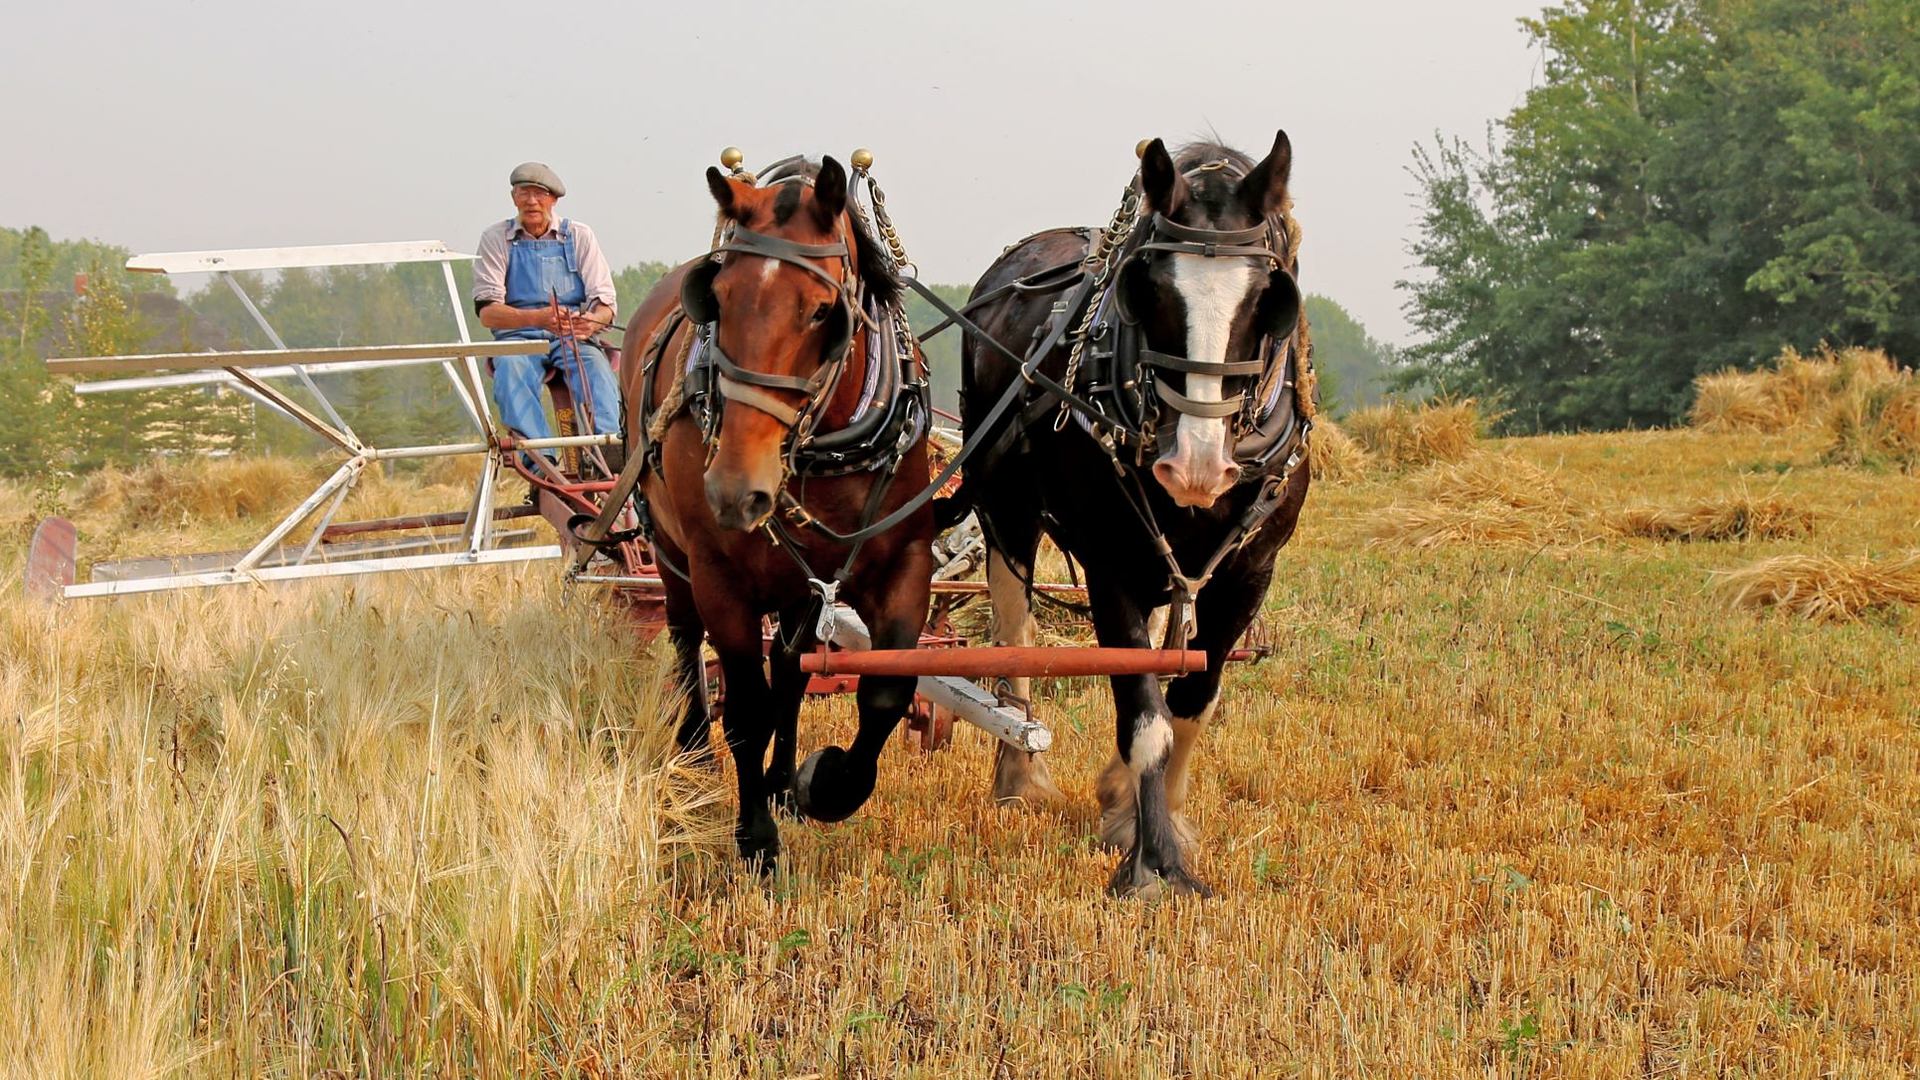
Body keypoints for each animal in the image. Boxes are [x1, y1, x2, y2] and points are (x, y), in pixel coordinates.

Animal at [617, 156, 934, 870]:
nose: (736, 490)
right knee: (686, 640)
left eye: (822, 312)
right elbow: (746, 712)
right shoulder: (722, 581)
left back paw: (783, 782)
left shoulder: (902, 564)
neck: (825, 450)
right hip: (673, 555)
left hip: (799, 584)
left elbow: (883, 694)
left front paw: (825, 784)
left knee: (790, 671)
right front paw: (756, 837)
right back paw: (695, 750)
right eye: (720, 300)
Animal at [957, 132, 1313, 897]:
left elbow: (1191, 702)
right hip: (1004, 510)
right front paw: (1154, 866)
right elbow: (1143, 714)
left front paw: (1148, 815)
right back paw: (1017, 774)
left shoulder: (1249, 573)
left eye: (1269, 299)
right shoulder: (1110, 564)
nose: (1197, 466)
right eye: (1147, 289)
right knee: (1014, 631)